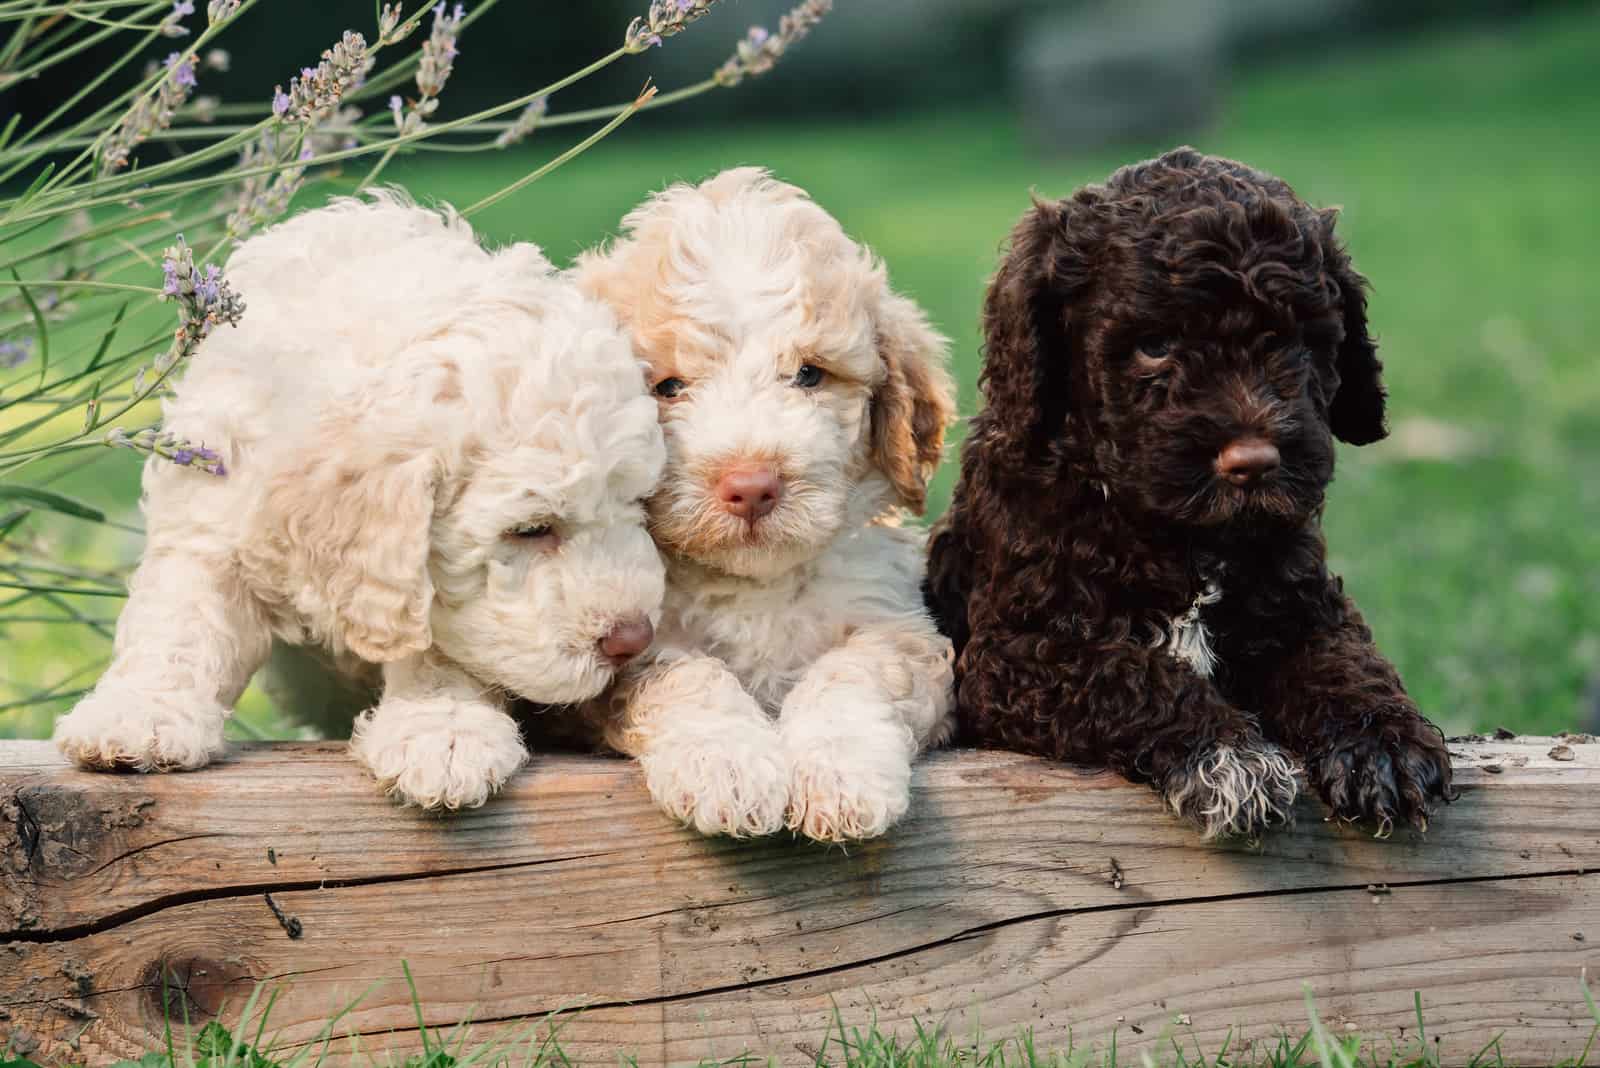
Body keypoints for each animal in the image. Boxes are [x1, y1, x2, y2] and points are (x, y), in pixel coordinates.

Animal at [54, 194, 668, 808]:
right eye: (531, 530)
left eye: (641, 506)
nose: (633, 639)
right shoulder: (210, 505)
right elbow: (183, 614)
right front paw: (140, 714)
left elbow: (434, 642)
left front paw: (442, 731)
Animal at [572, 167, 947, 844]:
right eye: (668, 387)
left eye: (810, 375)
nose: (751, 486)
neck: (756, 586)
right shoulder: (626, 652)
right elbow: (682, 673)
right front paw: (724, 763)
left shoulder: (900, 628)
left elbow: (856, 672)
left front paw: (841, 770)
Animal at [934, 146, 1459, 837]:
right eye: (1154, 346)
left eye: (1298, 342)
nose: (1253, 464)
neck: (1182, 536)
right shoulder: (1014, 657)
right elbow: (1131, 673)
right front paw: (1229, 756)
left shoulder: (1304, 607)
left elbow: (1342, 661)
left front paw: (1383, 744)